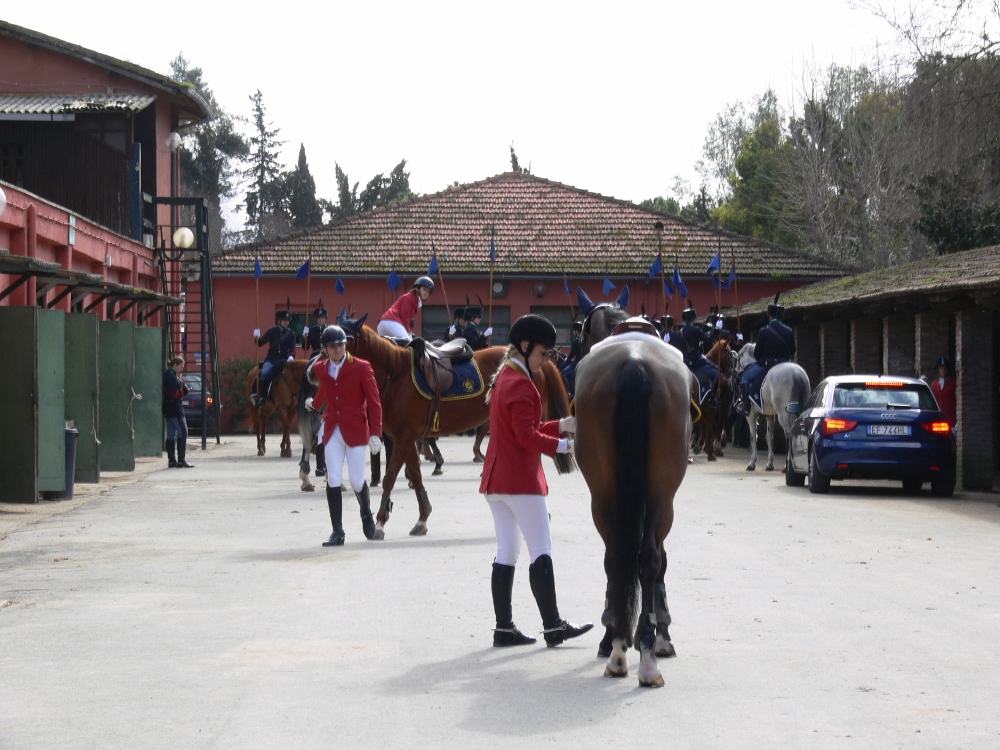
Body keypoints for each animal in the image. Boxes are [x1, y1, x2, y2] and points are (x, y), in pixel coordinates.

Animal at [338, 312, 576, 540]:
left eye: (347, 338)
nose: (330, 364)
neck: (396, 374)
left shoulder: (404, 437)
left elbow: (390, 478)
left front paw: (379, 523)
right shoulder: (405, 437)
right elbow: (415, 475)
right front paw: (422, 518)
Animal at [576, 328, 692, 688]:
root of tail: (634, 361)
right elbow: (660, 565)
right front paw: (662, 635)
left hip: (601, 495)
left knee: (616, 558)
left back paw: (619, 649)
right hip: (663, 495)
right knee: (649, 558)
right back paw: (643, 656)